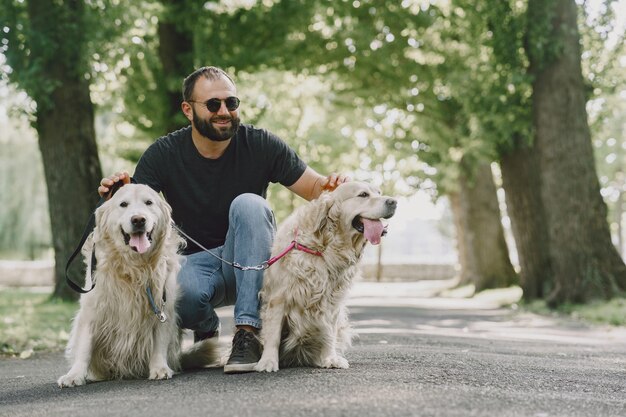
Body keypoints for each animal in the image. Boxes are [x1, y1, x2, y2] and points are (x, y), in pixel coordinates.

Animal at [58, 184, 218, 386]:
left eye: (149, 202)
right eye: (123, 204)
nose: (139, 220)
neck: (135, 267)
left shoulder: (164, 308)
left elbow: (159, 342)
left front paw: (159, 368)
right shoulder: (91, 309)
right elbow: (84, 347)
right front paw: (75, 374)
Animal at [255, 181, 394, 370]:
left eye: (379, 192)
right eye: (363, 195)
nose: (393, 202)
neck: (324, 247)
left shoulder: (332, 301)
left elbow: (329, 331)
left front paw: (330, 358)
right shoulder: (278, 298)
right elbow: (273, 334)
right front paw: (268, 361)